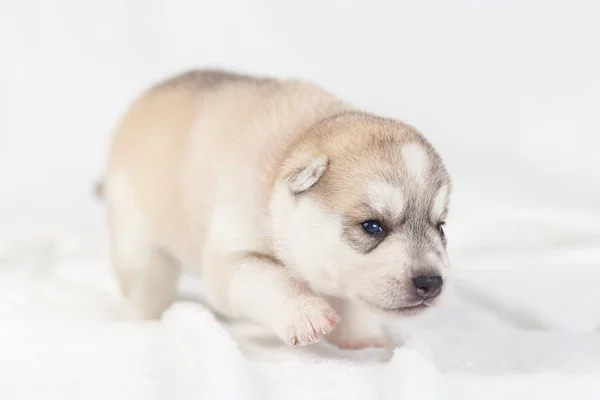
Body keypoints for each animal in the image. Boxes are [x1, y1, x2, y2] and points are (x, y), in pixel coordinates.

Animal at [98, 69, 452, 350]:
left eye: (441, 227)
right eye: (372, 226)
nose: (431, 282)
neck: (290, 148)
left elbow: (353, 304)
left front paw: (364, 339)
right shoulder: (233, 258)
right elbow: (272, 281)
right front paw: (306, 314)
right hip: (137, 240)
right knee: (145, 284)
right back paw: (149, 322)